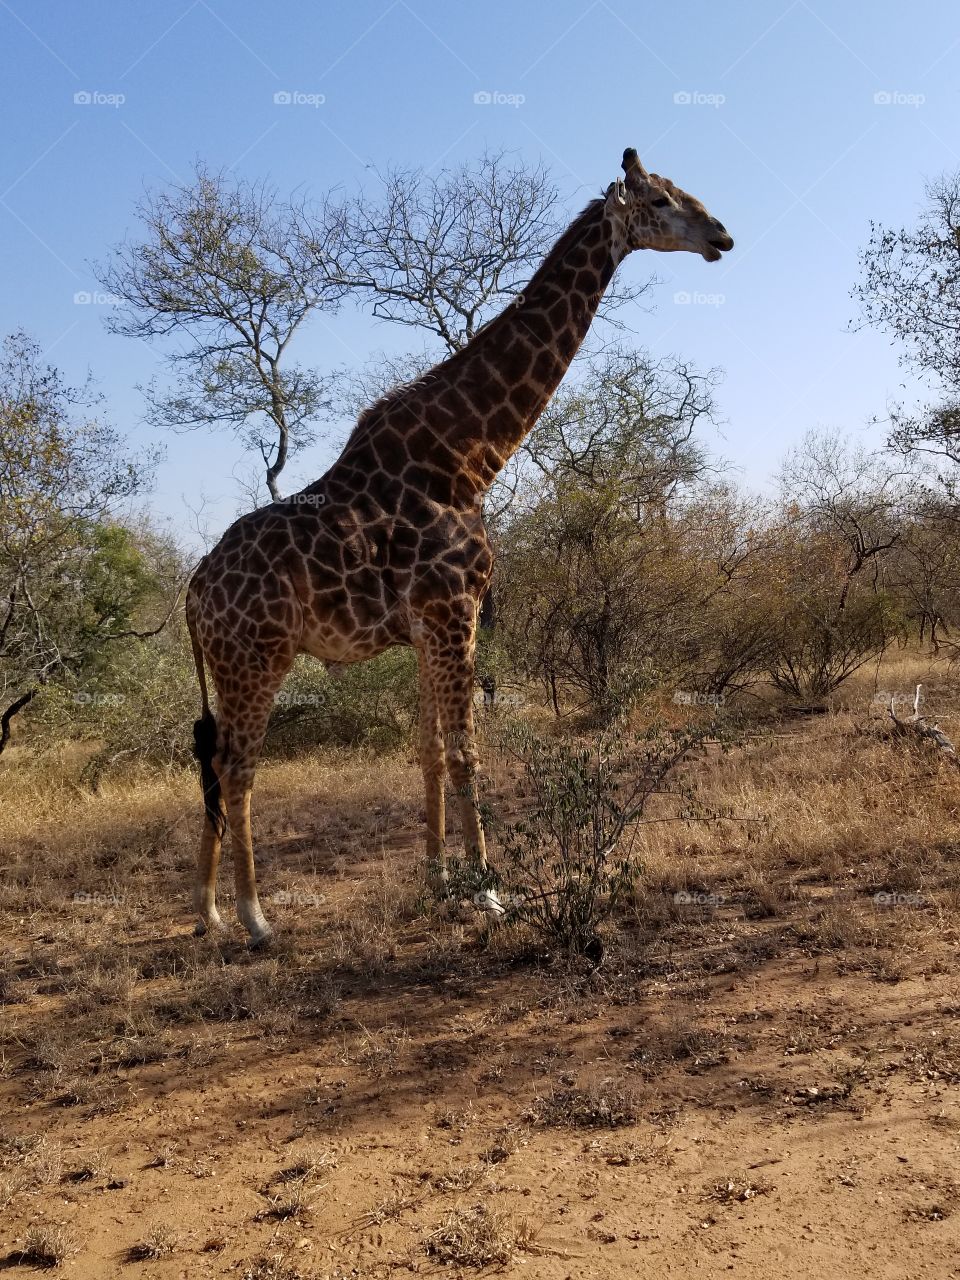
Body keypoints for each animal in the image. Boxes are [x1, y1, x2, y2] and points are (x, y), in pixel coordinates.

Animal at [185, 146, 733, 945]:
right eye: (660, 199)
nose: (722, 235)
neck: (468, 457)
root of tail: (192, 591)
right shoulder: (456, 610)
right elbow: (467, 750)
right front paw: (489, 890)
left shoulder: (425, 626)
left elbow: (427, 752)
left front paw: (439, 879)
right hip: (256, 657)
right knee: (236, 765)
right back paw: (256, 918)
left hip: (235, 664)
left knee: (209, 762)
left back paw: (208, 910)